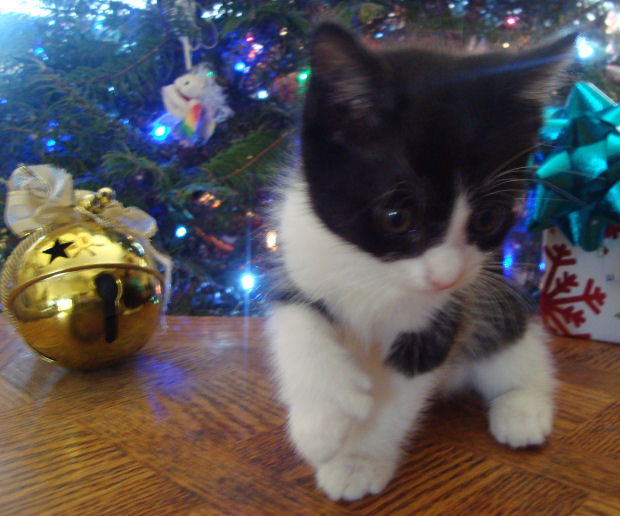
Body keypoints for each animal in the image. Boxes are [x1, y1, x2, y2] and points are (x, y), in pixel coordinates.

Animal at [268, 22, 572, 502]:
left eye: (488, 218)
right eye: (398, 217)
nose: (445, 277)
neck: (377, 273)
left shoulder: (442, 318)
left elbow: (403, 389)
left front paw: (358, 461)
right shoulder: (298, 248)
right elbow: (295, 315)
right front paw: (321, 422)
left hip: (494, 299)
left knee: (513, 341)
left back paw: (522, 406)